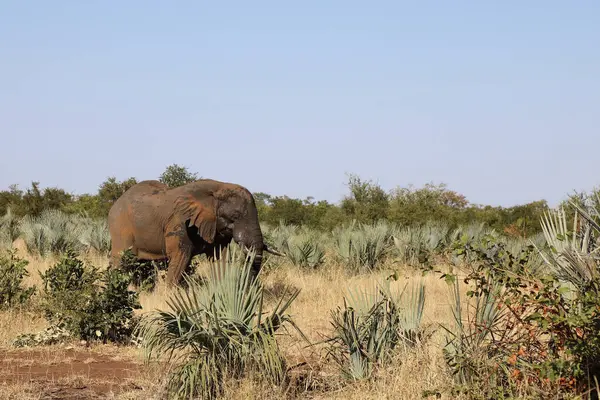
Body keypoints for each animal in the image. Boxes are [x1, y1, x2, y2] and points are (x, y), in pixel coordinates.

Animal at [106, 179, 284, 288]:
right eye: (235, 216)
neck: (217, 188)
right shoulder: (180, 221)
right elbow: (180, 256)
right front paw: (168, 297)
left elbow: (219, 258)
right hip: (119, 226)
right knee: (120, 259)